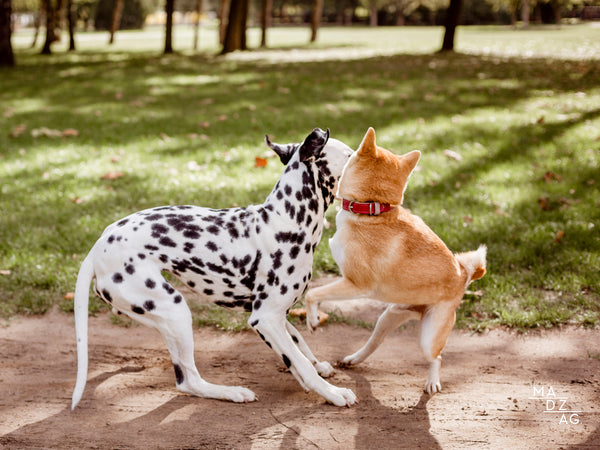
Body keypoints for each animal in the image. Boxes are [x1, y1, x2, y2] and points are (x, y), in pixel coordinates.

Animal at [70, 128, 356, 410]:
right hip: (176, 311)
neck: (284, 220)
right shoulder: (265, 319)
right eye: (351, 155)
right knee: (189, 381)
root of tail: (98, 245)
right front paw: (332, 393)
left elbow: (299, 347)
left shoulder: (277, 317)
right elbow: (301, 363)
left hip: (159, 316)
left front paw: (319, 368)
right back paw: (231, 392)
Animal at [308, 126, 486, 394]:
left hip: (428, 338)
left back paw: (432, 381)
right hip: (387, 318)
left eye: (351, 154)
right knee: (372, 345)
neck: (373, 211)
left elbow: (313, 294)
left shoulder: (356, 285)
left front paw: (312, 320)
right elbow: (312, 292)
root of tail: (463, 275)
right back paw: (353, 359)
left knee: (437, 358)